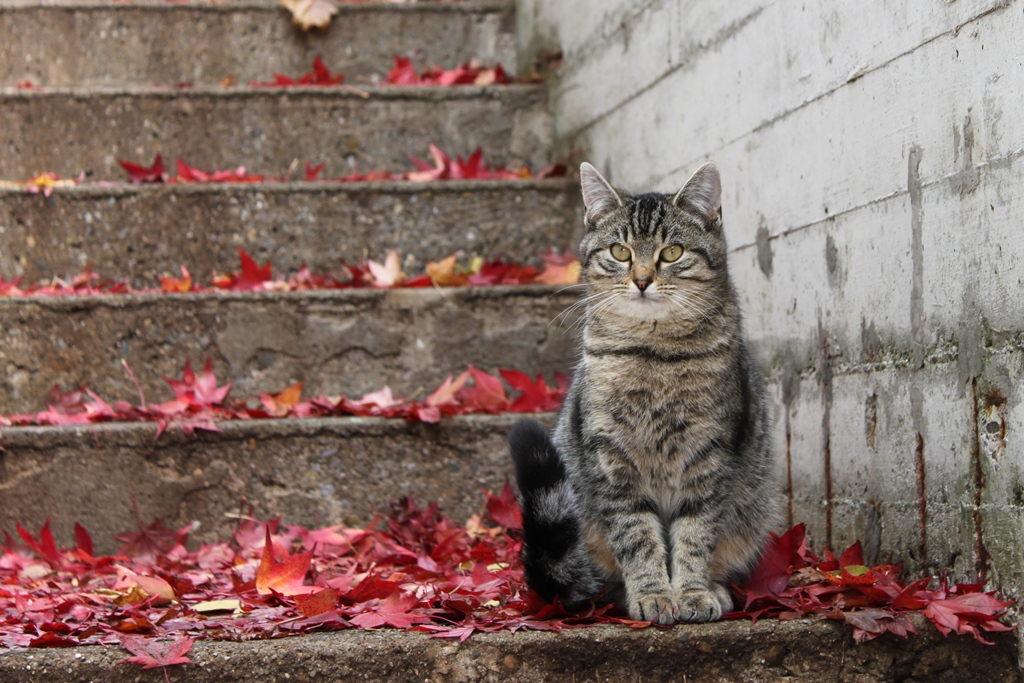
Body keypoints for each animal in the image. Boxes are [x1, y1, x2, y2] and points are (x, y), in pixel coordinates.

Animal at [507, 161, 778, 626]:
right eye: (620, 252)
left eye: (672, 253)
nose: (641, 280)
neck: (653, 352)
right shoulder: (611, 456)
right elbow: (636, 535)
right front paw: (653, 594)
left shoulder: (708, 452)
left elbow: (695, 533)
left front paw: (691, 592)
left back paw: (716, 589)